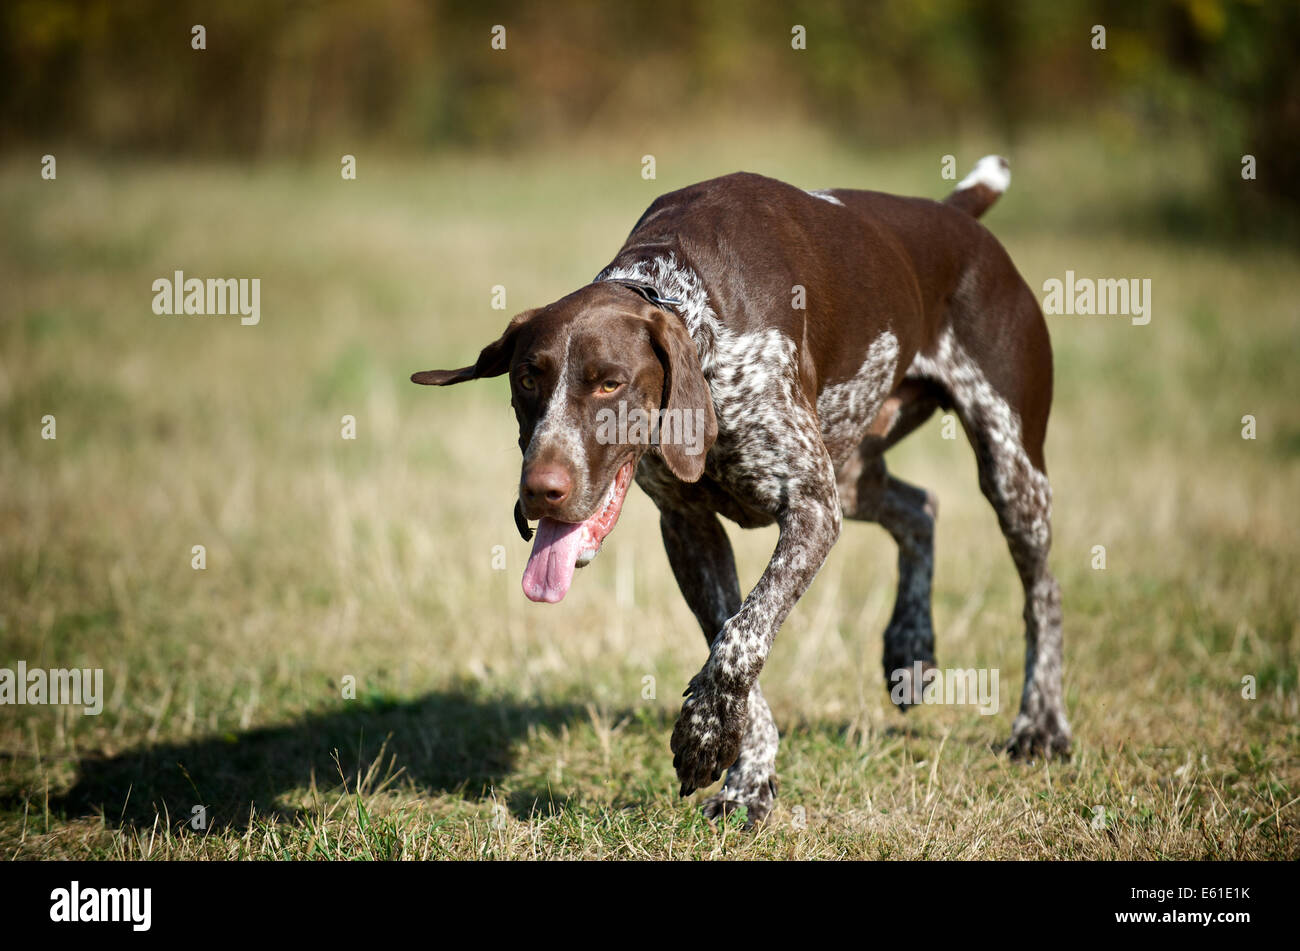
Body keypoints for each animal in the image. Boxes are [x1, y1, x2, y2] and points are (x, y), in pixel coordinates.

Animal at [410, 157, 1071, 826]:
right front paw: (747, 776)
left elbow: (744, 636)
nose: (539, 491)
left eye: (609, 384)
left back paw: (1041, 725)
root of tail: (957, 217)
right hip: (853, 466)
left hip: (1009, 467)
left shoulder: (810, 508)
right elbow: (729, 634)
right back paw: (910, 647)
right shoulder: (689, 528)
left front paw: (704, 733)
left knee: (1041, 593)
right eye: (527, 379)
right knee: (920, 509)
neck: (686, 298)